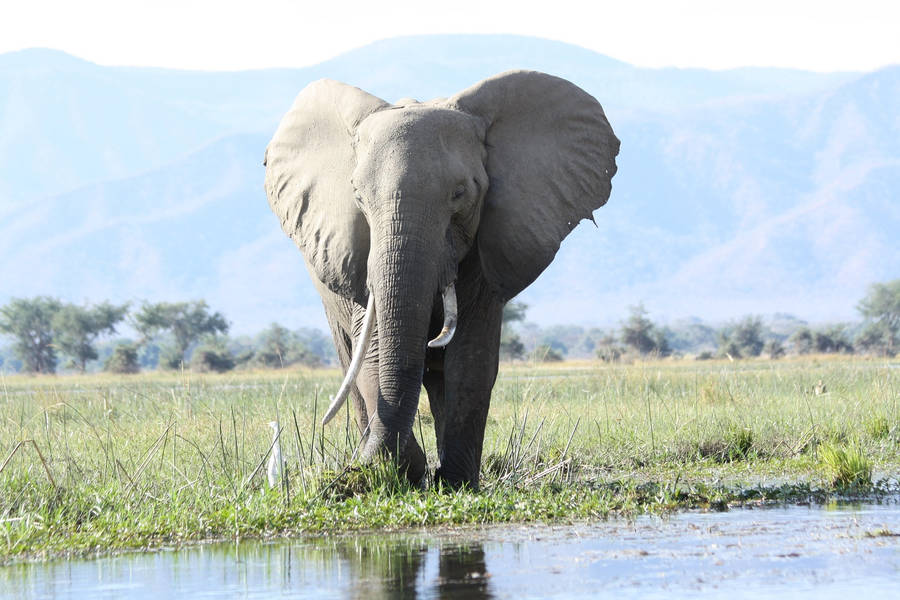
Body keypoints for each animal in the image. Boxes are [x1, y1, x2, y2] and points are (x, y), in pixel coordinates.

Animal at [264, 70, 619, 489]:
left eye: (461, 193)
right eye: (357, 196)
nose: (353, 473)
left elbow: (470, 362)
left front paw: (454, 484)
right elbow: (373, 354)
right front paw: (401, 470)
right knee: (351, 361)